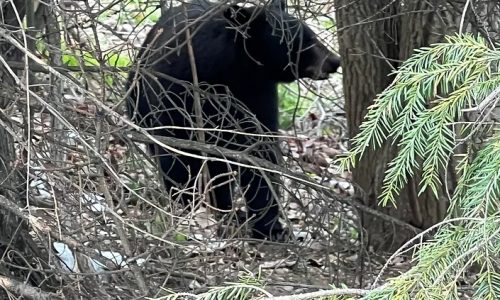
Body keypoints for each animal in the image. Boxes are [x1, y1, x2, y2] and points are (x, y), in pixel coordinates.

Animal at [127, 0, 342, 239]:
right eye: (303, 40)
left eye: (310, 34)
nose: (335, 61)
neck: (230, 71)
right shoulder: (177, 91)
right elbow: (175, 151)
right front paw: (187, 206)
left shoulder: (258, 95)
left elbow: (260, 152)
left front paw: (269, 227)